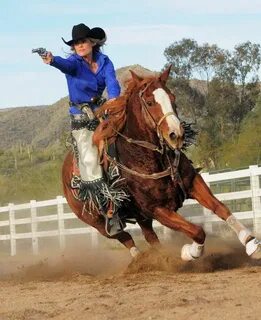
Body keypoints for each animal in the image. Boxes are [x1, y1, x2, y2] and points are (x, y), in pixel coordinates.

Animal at [61, 66, 260, 262]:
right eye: (149, 102)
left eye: (172, 98)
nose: (176, 134)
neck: (149, 159)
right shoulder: (157, 209)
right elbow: (197, 231)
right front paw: (189, 252)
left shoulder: (193, 183)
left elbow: (220, 208)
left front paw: (251, 243)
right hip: (99, 223)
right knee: (126, 238)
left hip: (141, 218)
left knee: (150, 238)